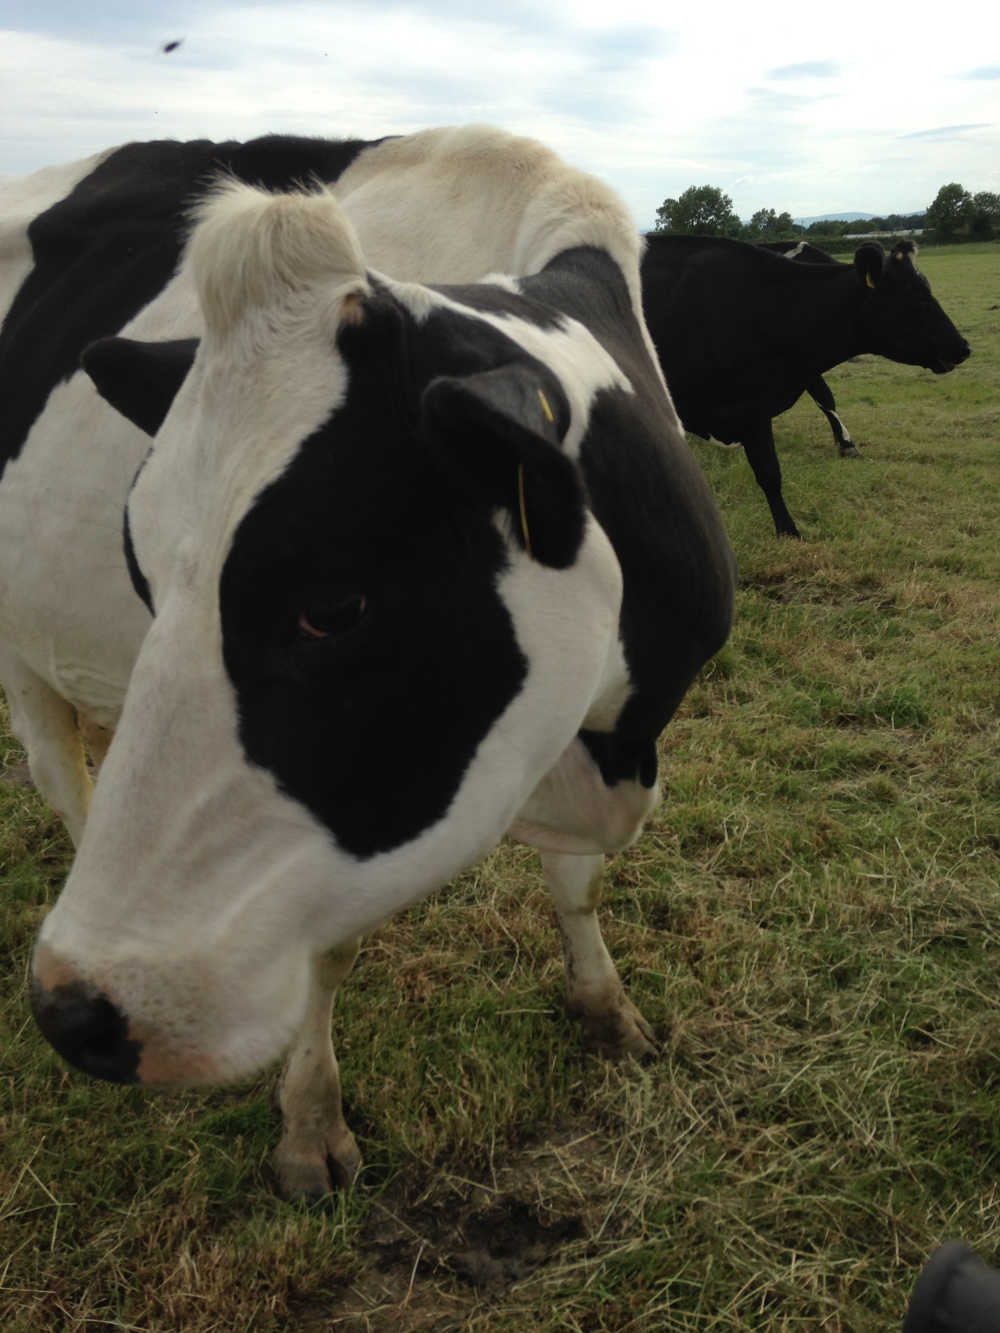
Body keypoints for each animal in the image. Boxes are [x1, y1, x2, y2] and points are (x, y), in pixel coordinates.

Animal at [0, 129, 736, 1205]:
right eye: (140, 565)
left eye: (332, 606)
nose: (71, 1007)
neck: (610, 746)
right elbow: (327, 944)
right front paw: (310, 1124)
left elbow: (575, 884)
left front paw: (605, 1005)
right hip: (17, 649)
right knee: (63, 779)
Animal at [642, 234, 970, 535]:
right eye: (914, 298)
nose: (962, 347)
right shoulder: (749, 409)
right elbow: (769, 473)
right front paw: (788, 531)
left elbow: (823, 402)